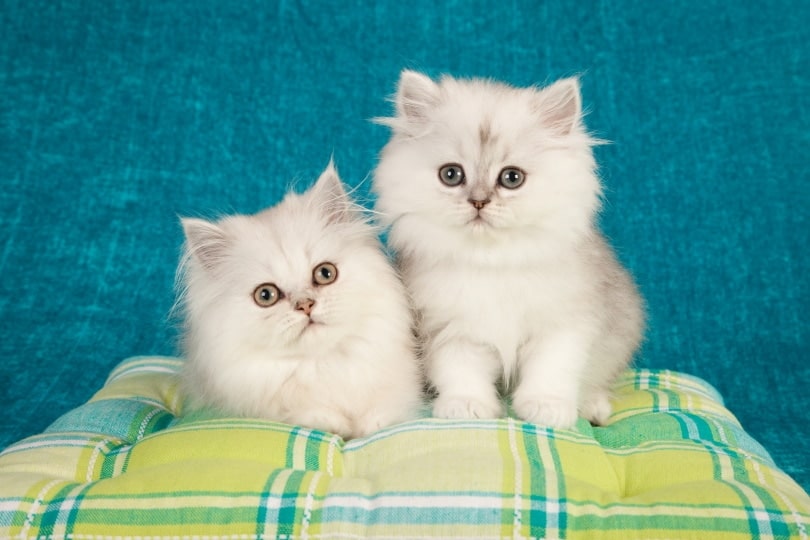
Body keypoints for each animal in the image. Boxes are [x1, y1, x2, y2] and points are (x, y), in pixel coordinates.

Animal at [178, 165, 422, 438]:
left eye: (325, 273)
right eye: (266, 295)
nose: (305, 305)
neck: (323, 365)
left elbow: (384, 413)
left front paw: (371, 425)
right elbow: (306, 415)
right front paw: (333, 423)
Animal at [372, 70, 644, 426]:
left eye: (511, 178)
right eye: (451, 175)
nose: (479, 202)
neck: (491, 260)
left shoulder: (563, 325)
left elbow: (551, 370)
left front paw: (546, 408)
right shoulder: (450, 329)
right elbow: (461, 371)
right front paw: (466, 406)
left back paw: (594, 407)